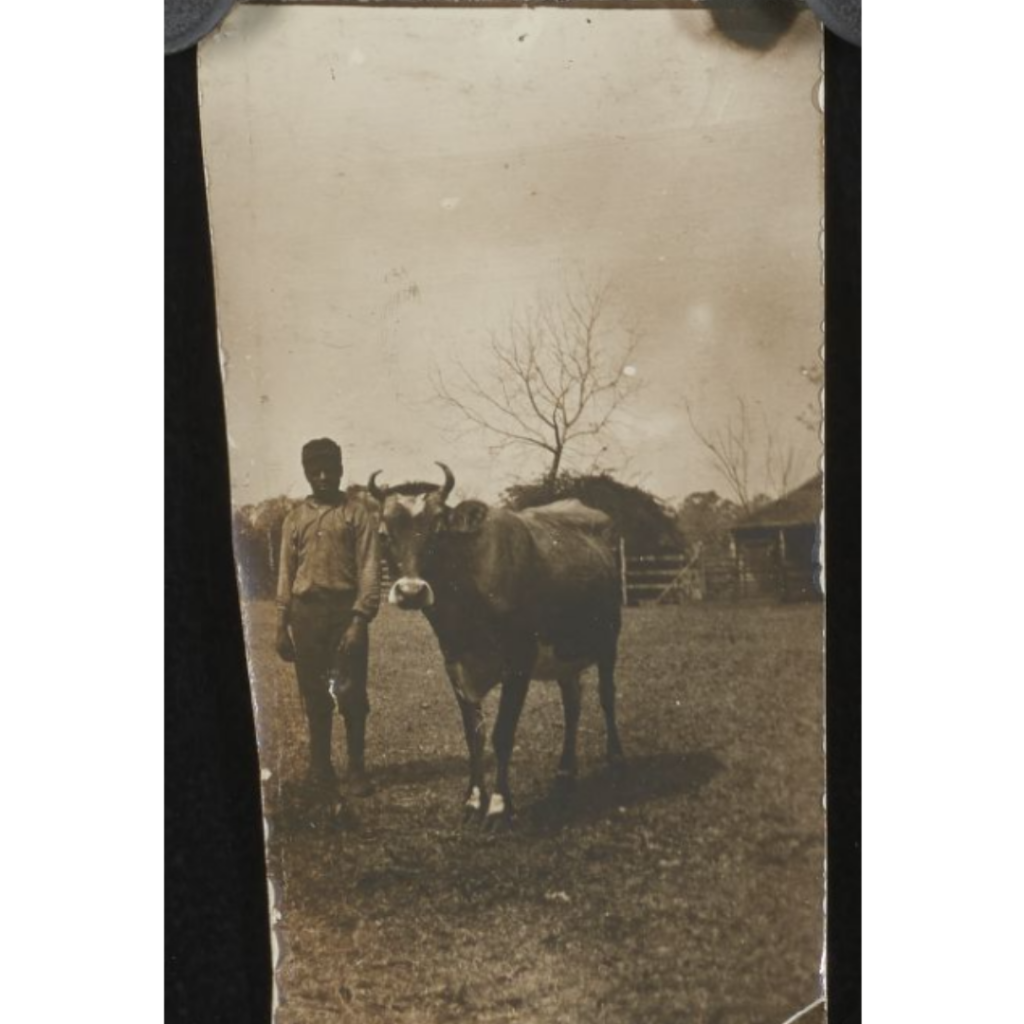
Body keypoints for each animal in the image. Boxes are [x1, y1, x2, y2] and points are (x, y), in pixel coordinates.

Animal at [368, 464, 622, 831]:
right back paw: (564, 770)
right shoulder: (455, 663)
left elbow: (502, 734)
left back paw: (615, 758)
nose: (412, 592)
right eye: (384, 533)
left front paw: (500, 807)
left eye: (439, 530)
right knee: (572, 705)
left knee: (606, 697)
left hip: (609, 639)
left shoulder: (519, 661)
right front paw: (473, 801)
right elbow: (473, 736)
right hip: (564, 654)